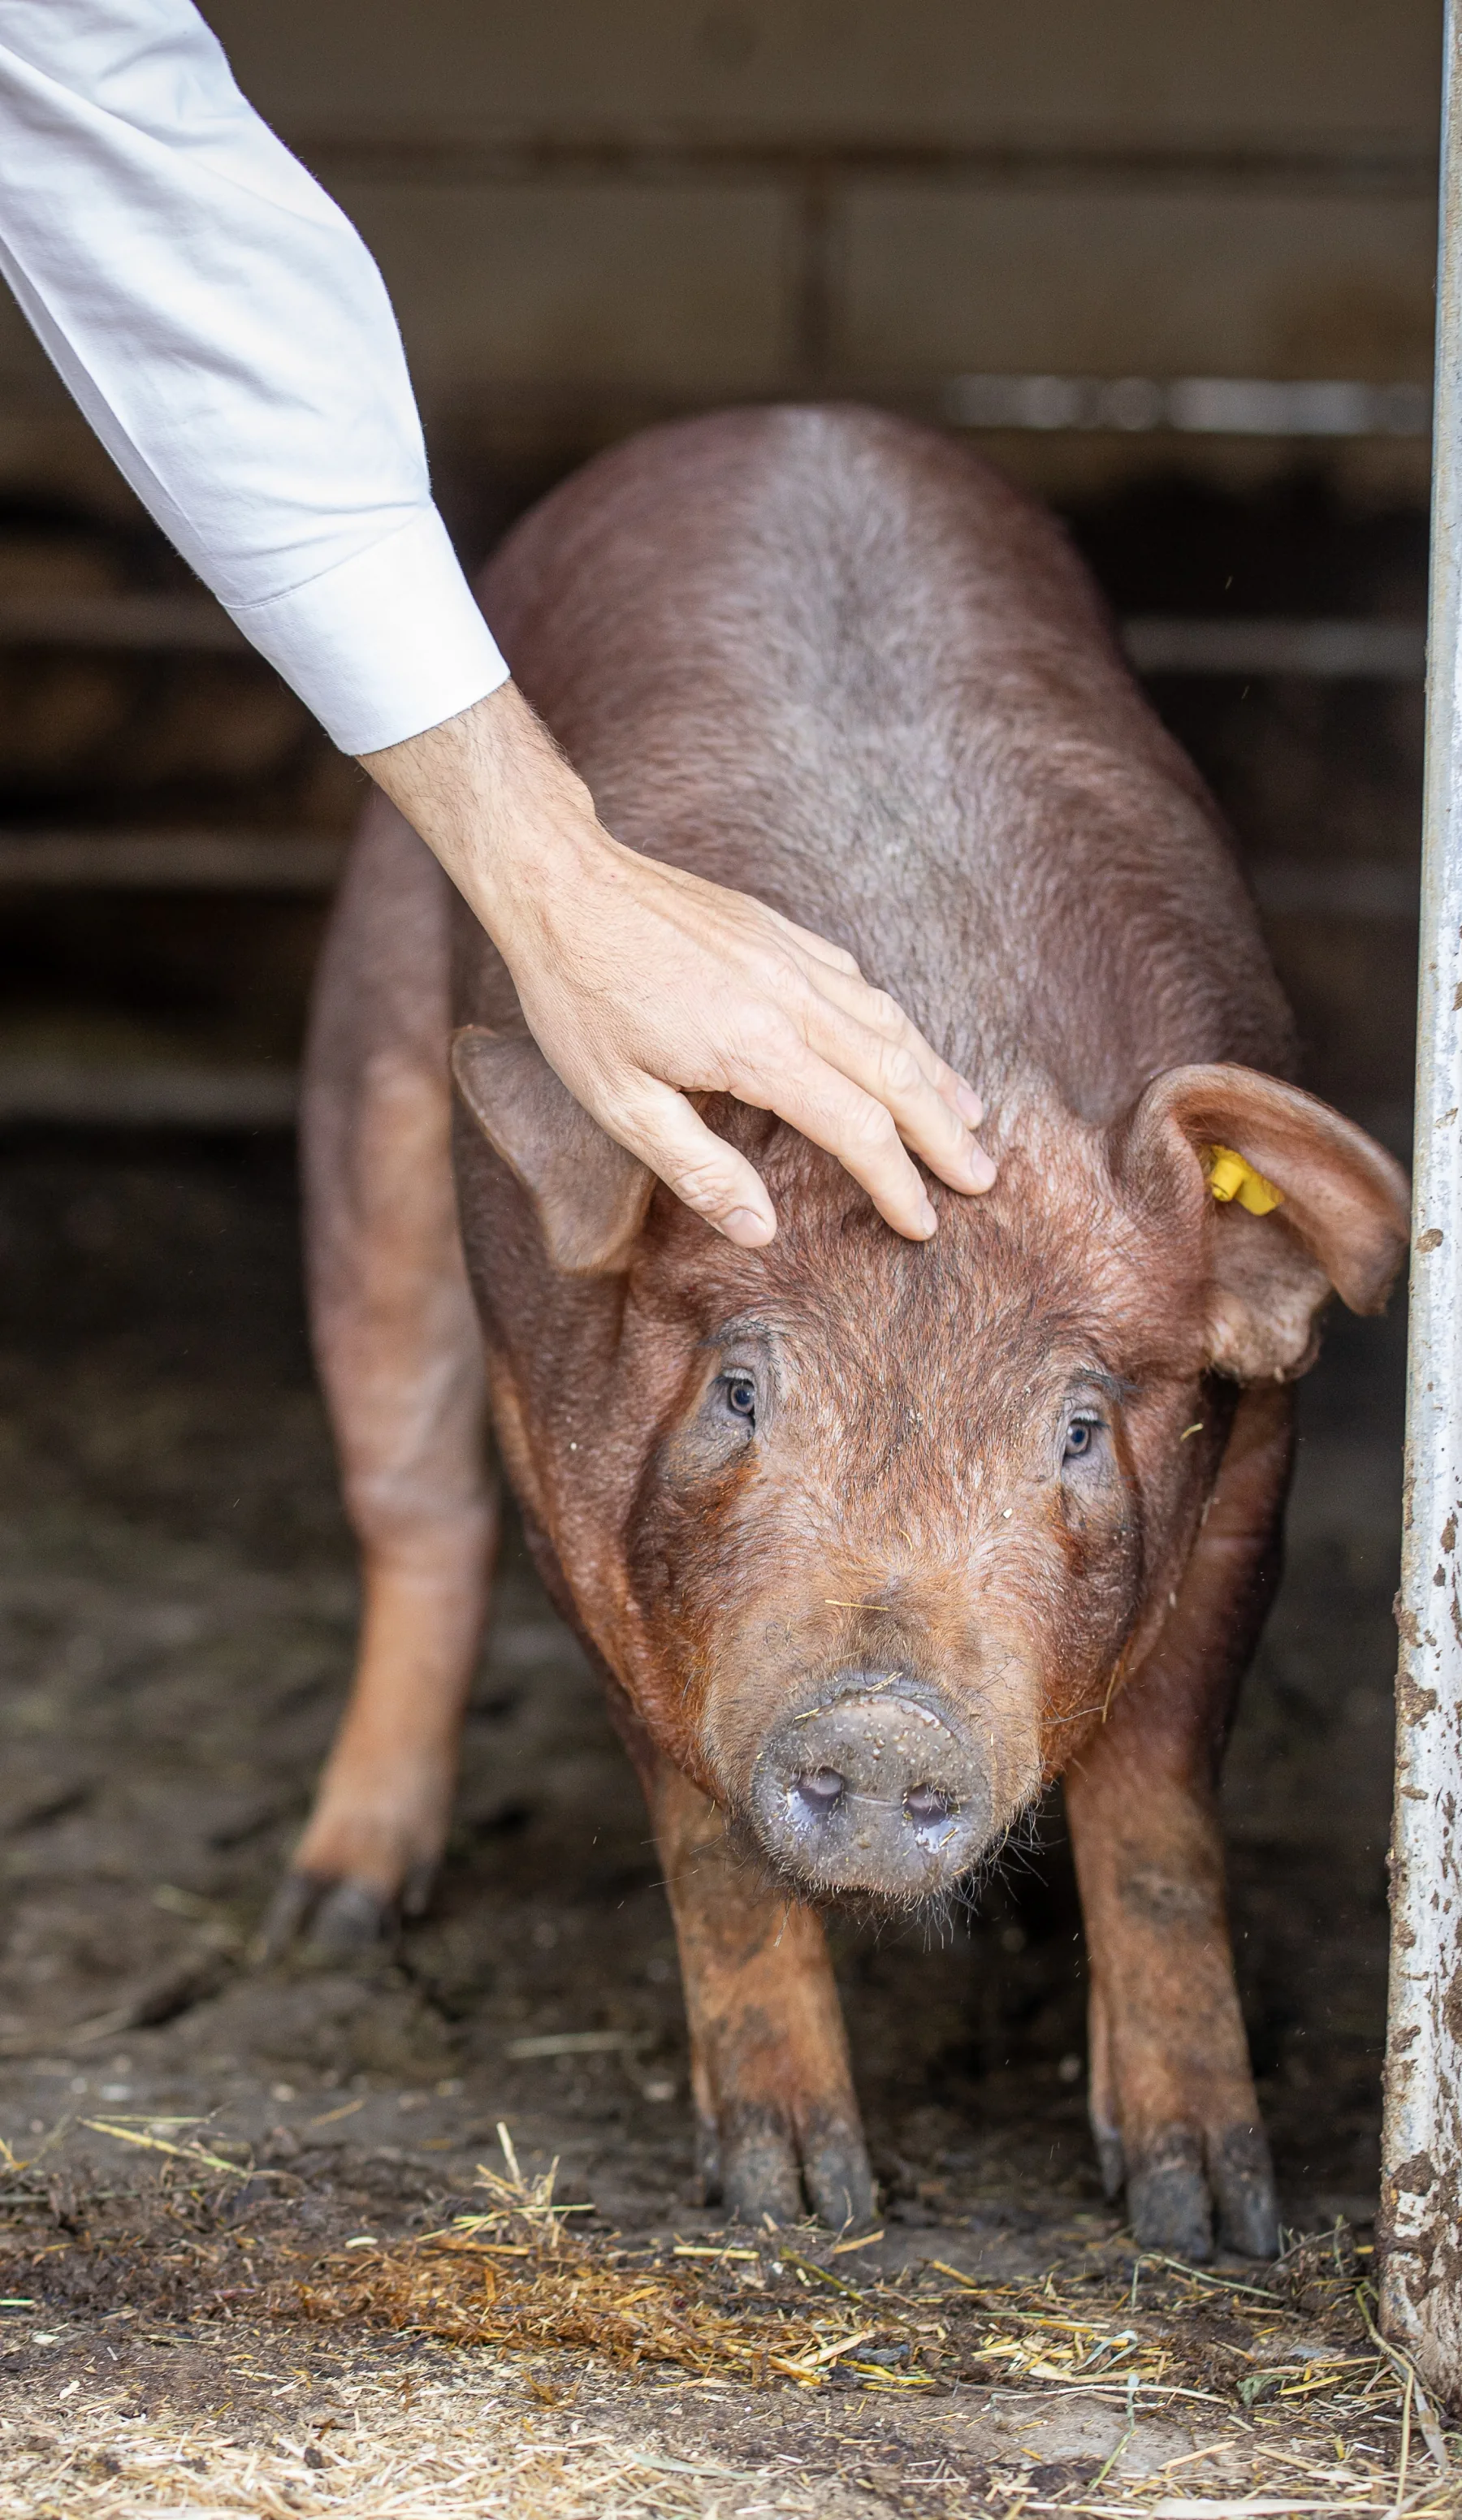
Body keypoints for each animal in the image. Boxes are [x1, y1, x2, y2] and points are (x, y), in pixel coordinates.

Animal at [268, 407, 1410, 2260]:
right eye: (741, 1389)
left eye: (1077, 1426)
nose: (878, 1720)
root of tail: (778, 418)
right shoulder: (560, 1461)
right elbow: (709, 1836)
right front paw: (796, 2197)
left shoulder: (1256, 1462)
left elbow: (1162, 1810)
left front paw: (1203, 2213)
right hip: (367, 1077)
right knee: (413, 1517)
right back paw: (331, 1916)